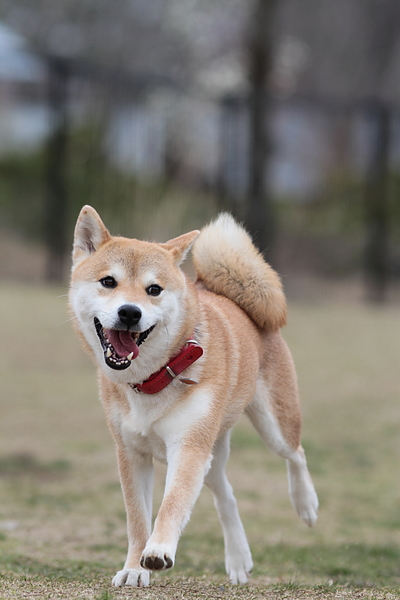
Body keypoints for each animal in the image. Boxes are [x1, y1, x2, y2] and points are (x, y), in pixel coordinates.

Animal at [69, 205, 318, 584]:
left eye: (154, 289)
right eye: (108, 282)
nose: (130, 312)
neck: (152, 379)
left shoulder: (188, 448)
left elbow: (171, 504)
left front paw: (157, 551)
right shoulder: (132, 454)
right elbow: (137, 519)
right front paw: (134, 569)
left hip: (271, 427)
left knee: (296, 454)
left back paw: (305, 503)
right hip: (212, 455)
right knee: (227, 495)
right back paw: (238, 558)